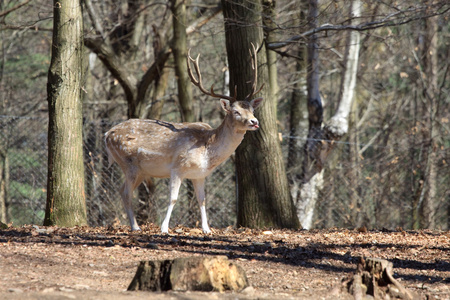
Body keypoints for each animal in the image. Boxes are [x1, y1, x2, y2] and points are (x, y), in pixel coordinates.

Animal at [103, 43, 262, 233]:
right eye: (236, 111)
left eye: (252, 110)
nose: (254, 121)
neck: (207, 152)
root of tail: (107, 134)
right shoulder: (177, 168)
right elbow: (173, 198)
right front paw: (164, 228)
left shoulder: (199, 175)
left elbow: (202, 200)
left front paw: (207, 229)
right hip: (129, 163)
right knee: (127, 193)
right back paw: (136, 227)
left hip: (141, 170)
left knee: (121, 191)